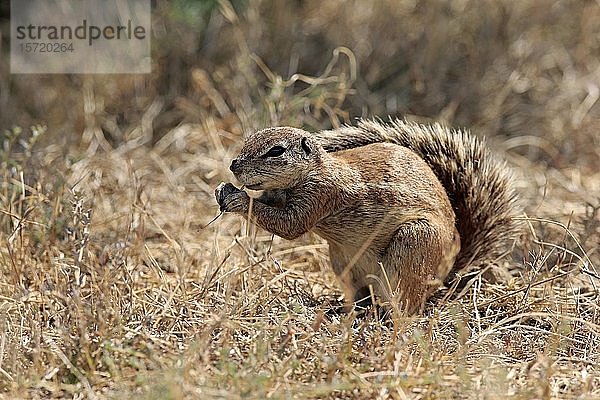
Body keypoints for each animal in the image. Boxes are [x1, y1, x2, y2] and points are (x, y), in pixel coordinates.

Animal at [217, 120, 520, 314]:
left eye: (276, 151)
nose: (234, 165)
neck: (316, 169)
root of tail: (443, 278)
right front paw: (223, 190)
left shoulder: (322, 193)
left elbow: (290, 225)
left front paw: (238, 198)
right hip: (344, 264)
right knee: (362, 297)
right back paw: (343, 310)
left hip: (413, 245)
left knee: (405, 307)